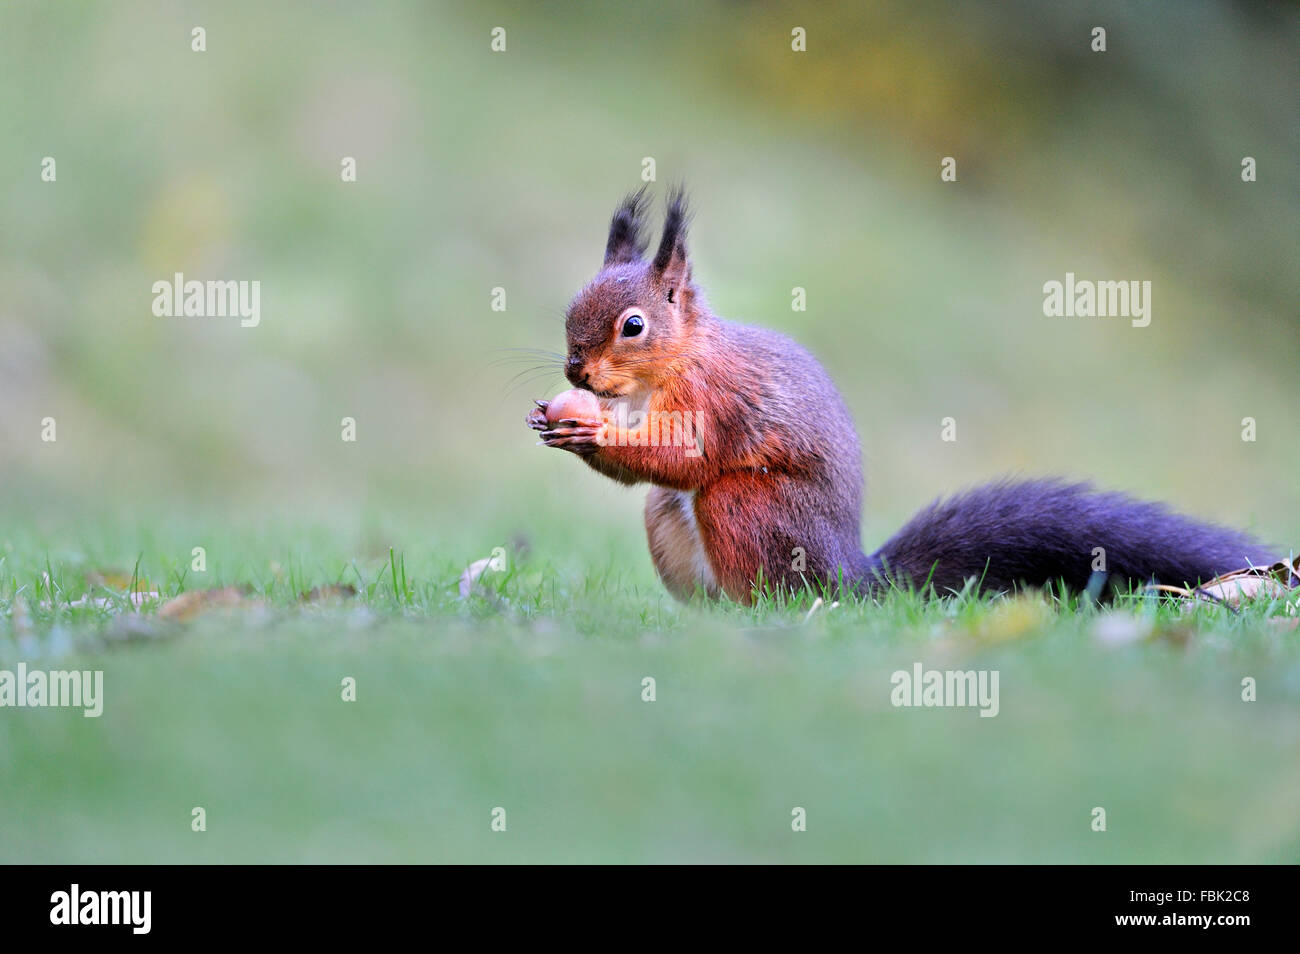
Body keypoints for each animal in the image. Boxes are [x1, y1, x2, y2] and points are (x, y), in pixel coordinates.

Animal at [522, 189, 1263, 600]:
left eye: (634, 325)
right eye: (572, 306)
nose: (575, 372)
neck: (675, 365)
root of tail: (852, 579)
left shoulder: (719, 400)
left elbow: (686, 457)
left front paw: (586, 434)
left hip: (748, 510)